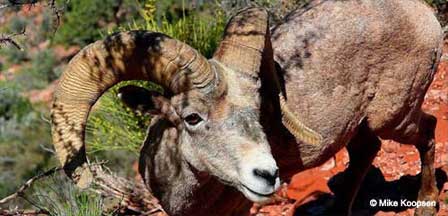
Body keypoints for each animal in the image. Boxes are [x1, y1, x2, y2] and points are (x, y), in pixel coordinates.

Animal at [50, 0, 442, 215]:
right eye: (192, 117)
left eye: (258, 112)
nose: (267, 175)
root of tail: (424, 14)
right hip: (364, 127)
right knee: (366, 151)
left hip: (394, 118)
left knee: (427, 130)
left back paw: (427, 204)